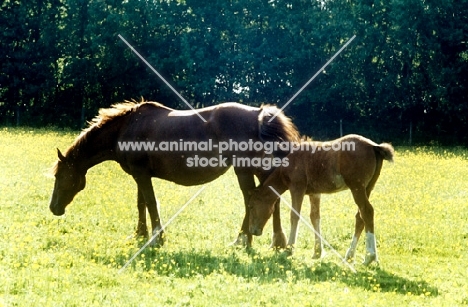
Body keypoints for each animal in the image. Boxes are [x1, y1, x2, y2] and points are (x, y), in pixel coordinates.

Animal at [50, 101, 300, 248]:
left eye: (59, 177)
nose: (54, 208)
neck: (126, 127)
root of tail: (259, 115)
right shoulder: (140, 175)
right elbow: (141, 203)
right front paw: (140, 234)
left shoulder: (141, 174)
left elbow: (151, 203)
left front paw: (156, 238)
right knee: (269, 197)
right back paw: (275, 241)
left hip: (245, 169)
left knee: (251, 198)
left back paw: (243, 240)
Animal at [247, 135, 394, 268]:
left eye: (251, 206)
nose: (253, 231)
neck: (291, 161)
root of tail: (374, 146)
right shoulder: (314, 193)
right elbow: (315, 217)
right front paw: (317, 252)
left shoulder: (297, 188)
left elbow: (294, 216)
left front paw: (288, 250)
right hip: (368, 187)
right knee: (360, 217)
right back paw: (350, 256)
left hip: (357, 187)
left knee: (367, 211)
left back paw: (370, 257)